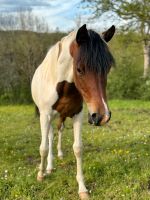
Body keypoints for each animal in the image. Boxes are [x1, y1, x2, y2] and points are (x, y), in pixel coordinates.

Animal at [31, 24, 115, 199]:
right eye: (79, 69)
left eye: (108, 68)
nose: (102, 116)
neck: (64, 86)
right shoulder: (45, 115)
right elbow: (43, 147)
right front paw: (40, 175)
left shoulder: (77, 115)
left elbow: (78, 148)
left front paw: (82, 189)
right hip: (48, 117)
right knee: (49, 137)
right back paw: (49, 167)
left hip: (61, 116)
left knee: (58, 131)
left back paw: (58, 156)